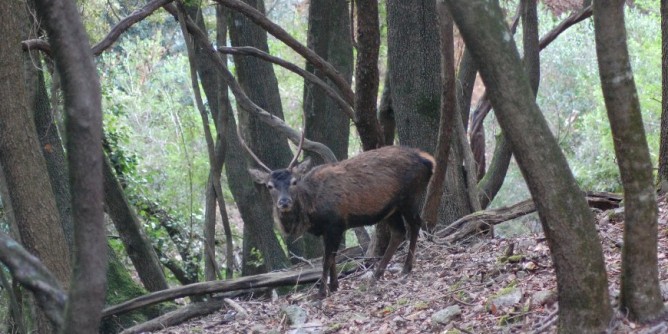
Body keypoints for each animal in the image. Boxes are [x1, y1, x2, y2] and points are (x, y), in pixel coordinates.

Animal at [240, 129, 434, 298]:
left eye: (294, 182)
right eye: (269, 186)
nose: (284, 202)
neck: (311, 210)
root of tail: (429, 160)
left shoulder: (335, 222)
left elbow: (327, 258)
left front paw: (321, 292)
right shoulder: (326, 229)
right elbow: (332, 256)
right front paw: (334, 285)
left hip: (409, 197)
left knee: (416, 224)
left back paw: (406, 268)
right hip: (391, 208)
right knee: (399, 232)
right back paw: (377, 274)